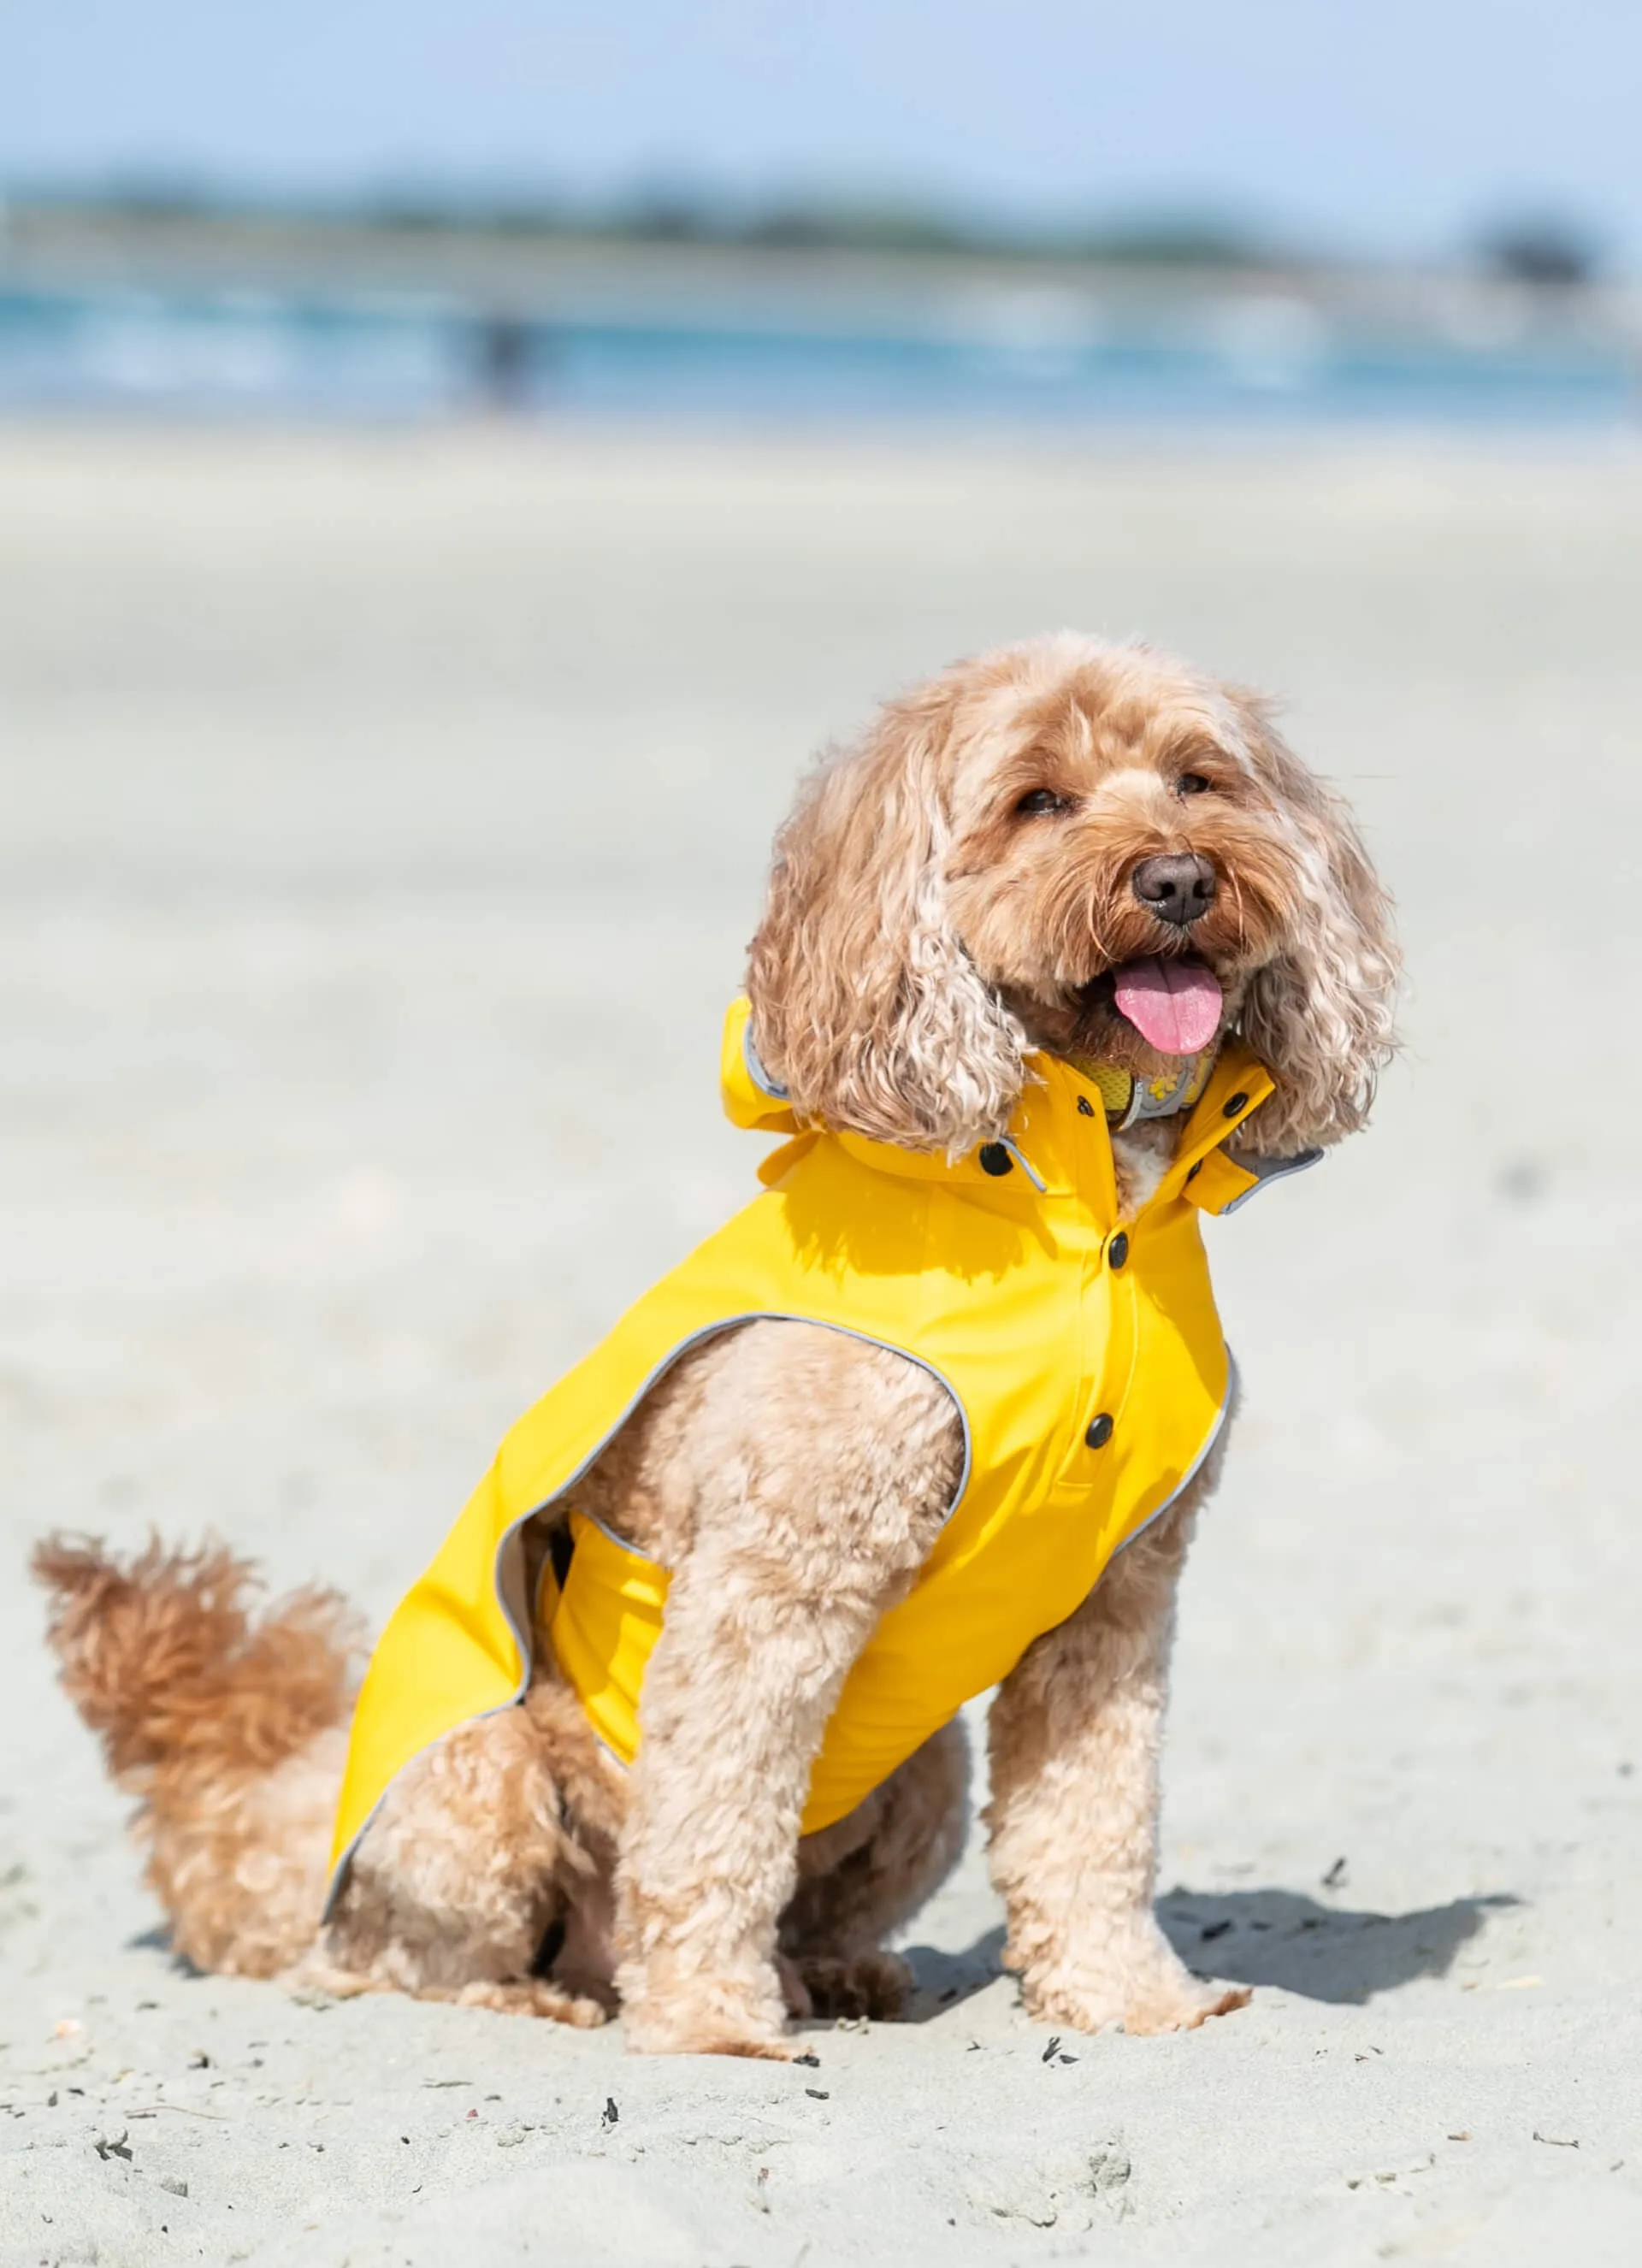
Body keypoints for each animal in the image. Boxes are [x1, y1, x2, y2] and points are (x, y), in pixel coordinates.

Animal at [35, 635, 1397, 2059]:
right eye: (1038, 801)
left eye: (1198, 780)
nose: (1180, 878)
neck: (1084, 1221)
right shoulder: (774, 1580)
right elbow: (711, 1816)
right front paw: (708, 2026)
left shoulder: (1115, 1600)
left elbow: (1094, 1821)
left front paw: (1129, 1996)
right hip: (481, 1775)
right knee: (394, 1959)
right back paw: (552, 1994)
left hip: (924, 1773)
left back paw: (834, 1978)